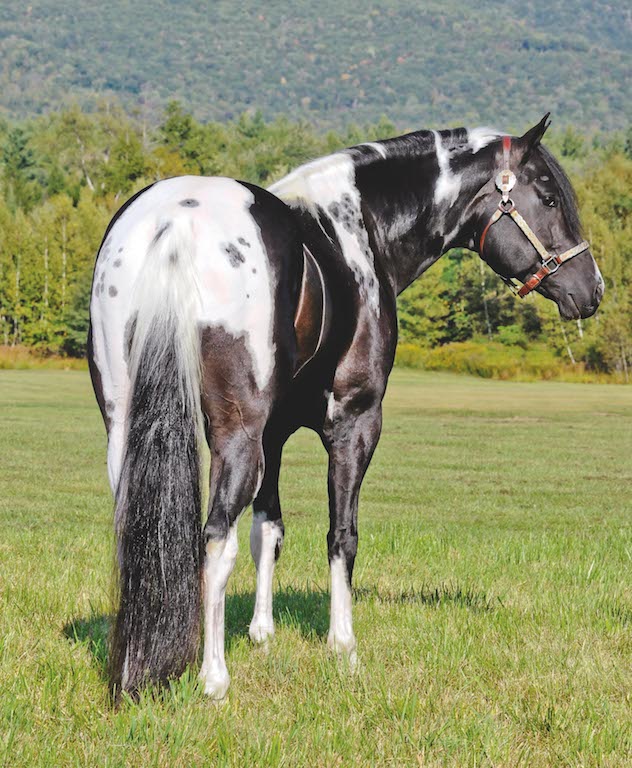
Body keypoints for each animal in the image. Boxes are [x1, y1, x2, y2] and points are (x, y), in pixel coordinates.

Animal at [87, 115, 604, 704]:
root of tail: (176, 220)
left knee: (140, 530)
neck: (355, 229)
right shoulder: (354, 424)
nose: (592, 289)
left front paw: (262, 633)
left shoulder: (274, 435)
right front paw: (343, 645)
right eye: (548, 197)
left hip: (126, 427)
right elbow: (341, 535)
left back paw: (134, 661)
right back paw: (213, 676)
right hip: (235, 434)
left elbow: (269, 528)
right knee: (217, 538)